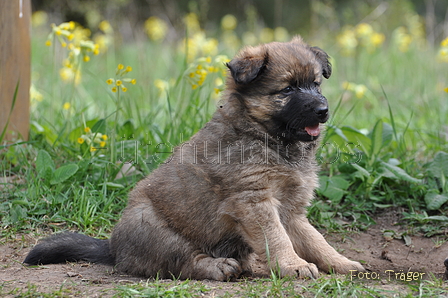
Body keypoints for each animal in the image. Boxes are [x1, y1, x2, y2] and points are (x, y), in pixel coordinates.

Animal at [24, 36, 364, 280]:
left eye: (316, 84)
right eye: (288, 89)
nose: (323, 110)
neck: (264, 136)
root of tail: (113, 249)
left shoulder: (292, 210)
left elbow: (315, 239)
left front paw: (341, 262)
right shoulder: (254, 201)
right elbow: (278, 239)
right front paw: (294, 265)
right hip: (153, 226)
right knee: (181, 262)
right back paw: (219, 266)